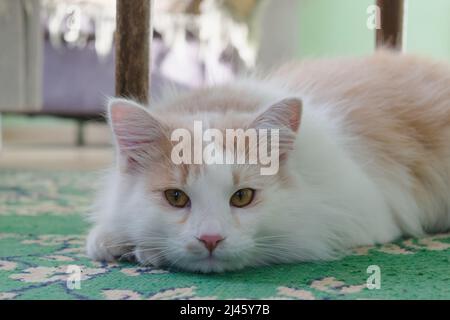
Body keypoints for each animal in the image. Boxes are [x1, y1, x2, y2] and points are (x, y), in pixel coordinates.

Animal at [87, 50, 450, 272]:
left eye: (242, 197)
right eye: (175, 197)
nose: (210, 239)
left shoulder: (356, 213)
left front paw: (145, 252)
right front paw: (113, 242)